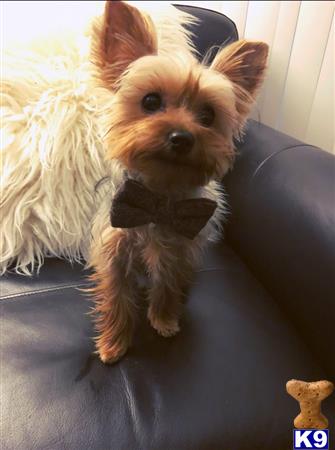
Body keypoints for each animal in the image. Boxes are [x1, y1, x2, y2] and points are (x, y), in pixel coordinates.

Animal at [0, 0, 268, 362]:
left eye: (208, 116)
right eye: (150, 101)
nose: (182, 137)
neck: (159, 198)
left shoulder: (177, 246)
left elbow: (168, 283)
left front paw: (164, 319)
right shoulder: (114, 247)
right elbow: (117, 296)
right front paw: (113, 343)